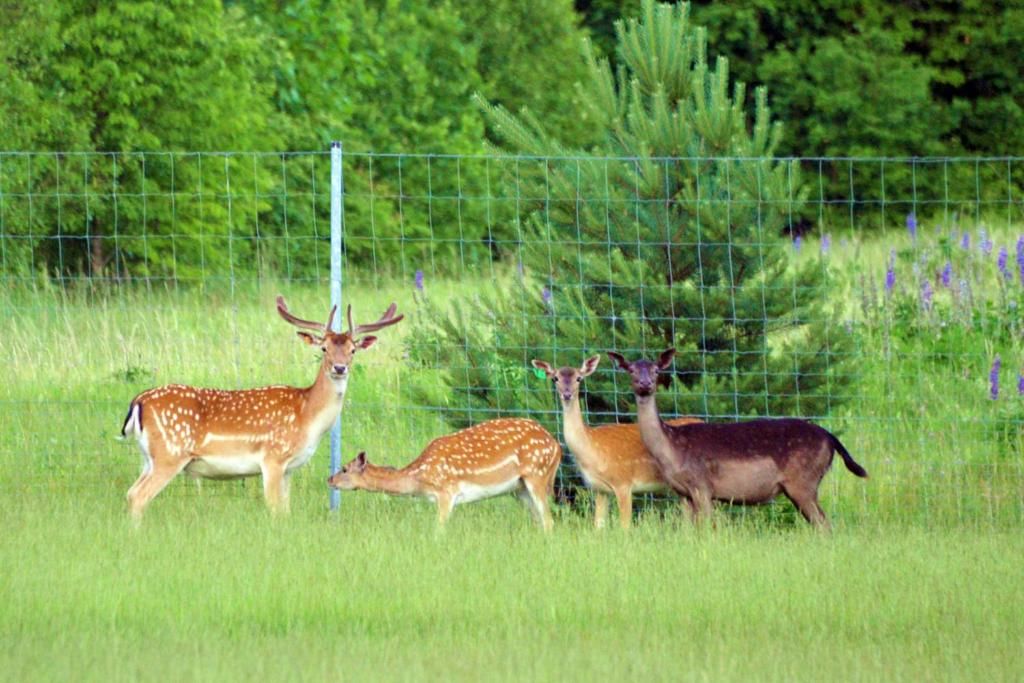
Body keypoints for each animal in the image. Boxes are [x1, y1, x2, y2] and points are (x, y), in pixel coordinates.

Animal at [120, 294, 403, 518]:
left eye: (353, 350)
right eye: (323, 348)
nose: (340, 367)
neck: (307, 417)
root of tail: (139, 401)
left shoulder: (289, 468)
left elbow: (286, 511)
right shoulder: (273, 457)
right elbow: (275, 510)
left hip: (149, 456)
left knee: (131, 492)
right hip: (170, 453)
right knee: (140, 496)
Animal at [329, 417, 561, 532]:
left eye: (344, 468)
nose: (329, 479)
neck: (419, 479)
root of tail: (557, 447)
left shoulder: (446, 492)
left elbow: (438, 529)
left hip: (537, 474)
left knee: (548, 521)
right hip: (519, 490)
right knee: (539, 521)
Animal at [528, 356, 704, 532]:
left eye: (579, 378)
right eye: (555, 378)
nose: (567, 394)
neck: (592, 450)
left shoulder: (623, 482)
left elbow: (625, 526)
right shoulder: (600, 489)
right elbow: (598, 526)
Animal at [602, 348, 868, 528]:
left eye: (656, 370)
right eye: (631, 370)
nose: (645, 383)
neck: (672, 449)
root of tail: (831, 438)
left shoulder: (702, 484)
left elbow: (707, 529)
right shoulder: (683, 493)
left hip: (804, 479)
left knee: (824, 524)